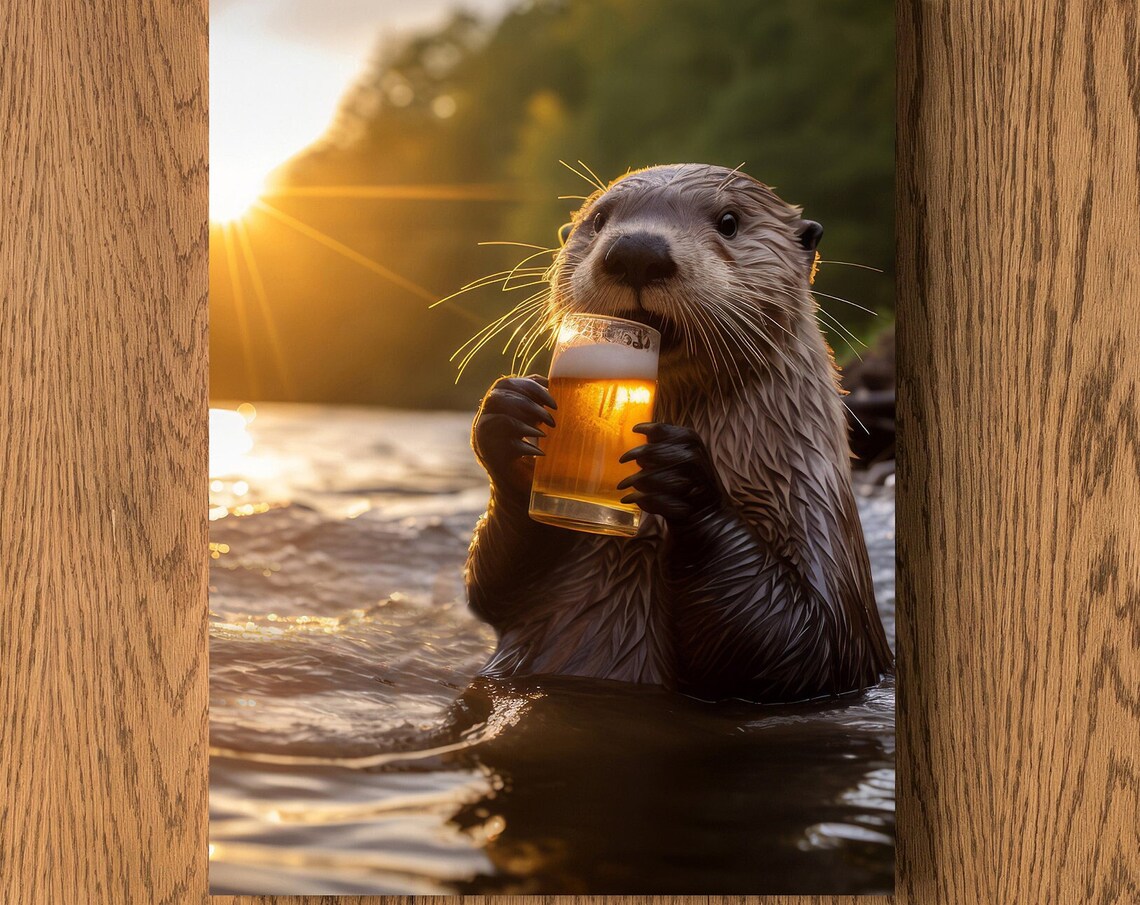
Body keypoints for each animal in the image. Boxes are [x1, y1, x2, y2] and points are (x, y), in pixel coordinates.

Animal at [464, 164, 892, 703]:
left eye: (729, 221)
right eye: (598, 219)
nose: (636, 251)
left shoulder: (826, 549)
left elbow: (807, 642)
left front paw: (682, 475)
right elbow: (490, 589)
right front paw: (509, 417)